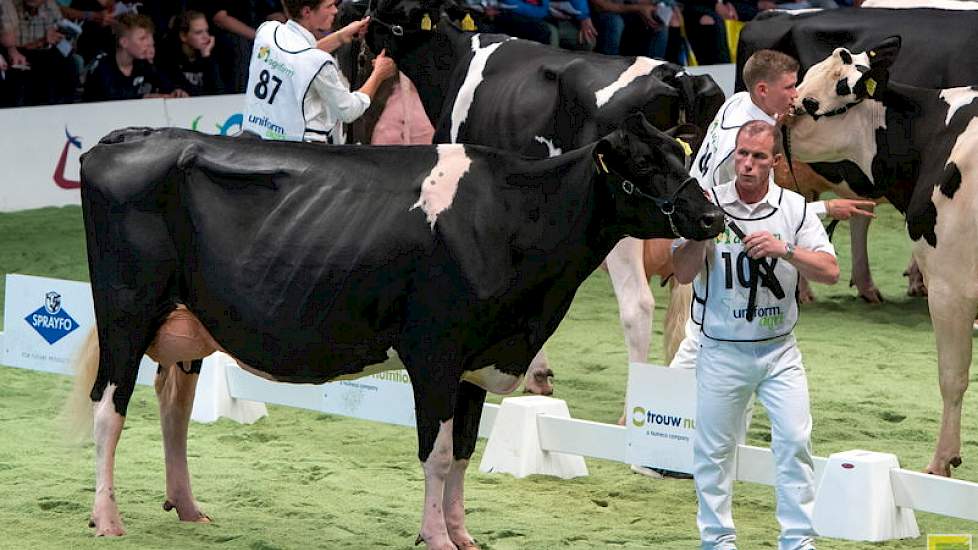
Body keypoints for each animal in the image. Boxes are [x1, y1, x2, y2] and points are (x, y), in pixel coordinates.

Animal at [72, 116, 720, 548]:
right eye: (644, 165)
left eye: (682, 155)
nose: (712, 216)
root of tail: (129, 135)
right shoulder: (435, 352)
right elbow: (436, 453)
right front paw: (434, 536)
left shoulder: (477, 361)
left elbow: (463, 453)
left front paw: (462, 534)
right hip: (126, 312)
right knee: (108, 409)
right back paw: (107, 519)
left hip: (188, 326)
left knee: (174, 409)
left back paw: (187, 507)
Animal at [788, 37, 972, 478]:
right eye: (802, 77)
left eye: (813, 100)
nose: (775, 119)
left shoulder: (950, 286)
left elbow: (952, 376)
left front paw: (941, 462)